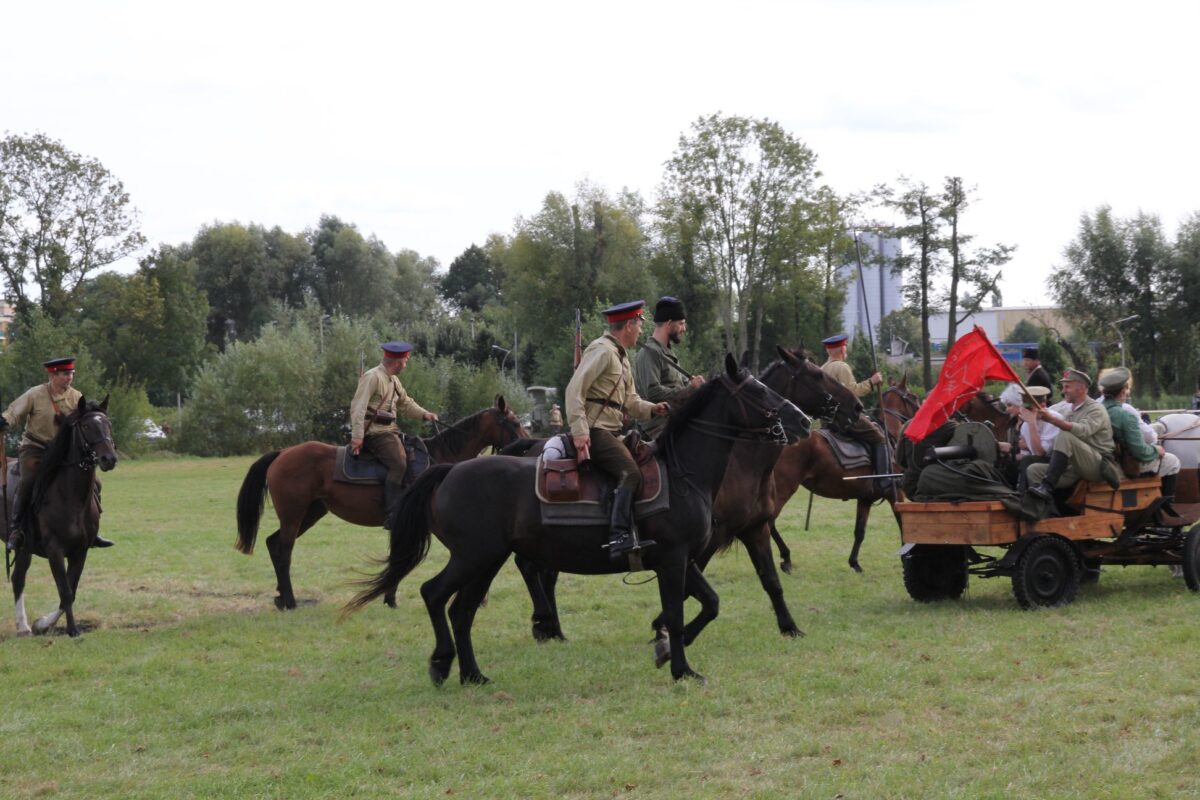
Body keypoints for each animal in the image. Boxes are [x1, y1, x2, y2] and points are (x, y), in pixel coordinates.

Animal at [7, 395, 118, 638]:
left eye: (108, 424)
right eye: (86, 426)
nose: (109, 458)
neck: (70, 496)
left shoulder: (80, 551)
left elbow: (70, 591)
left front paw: (43, 624)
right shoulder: (55, 550)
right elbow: (65, 591)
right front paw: (71, 629)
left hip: (24, 549)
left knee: (18, 578)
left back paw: (23, 627)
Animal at [236, 398, 528, 609]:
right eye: (514, 422)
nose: (527, 444)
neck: (440, 458)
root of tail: (282, 454)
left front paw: (389, 598)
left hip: (310, 514)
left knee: (273, 544)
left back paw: (280, 598)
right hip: (294, 515)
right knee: (284, 551)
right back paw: (290, 600)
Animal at [343, 359, 811, 686]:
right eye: (760, 391)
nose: (804, 420)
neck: (684, 473)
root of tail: (450, 471)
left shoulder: (682, 560)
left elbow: (710, 603)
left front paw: (664, 651)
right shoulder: (674, 560)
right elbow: (679, 615)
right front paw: (681, 668)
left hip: (486, 561)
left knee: (461, 610)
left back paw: (472, 673)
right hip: (475, 557)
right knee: (435, 594)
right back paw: (445, 662)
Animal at [516, 347, 864, 647]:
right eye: (817, 375)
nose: (857, 407)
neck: (740, 463)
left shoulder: (755, 529)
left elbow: (771, 581)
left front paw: (790, 626)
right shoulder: (707, 538)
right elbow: (689, 584)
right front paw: (664, 627)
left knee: (542, 570)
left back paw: (552, 628)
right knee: (533, 567)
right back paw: (545, 624)